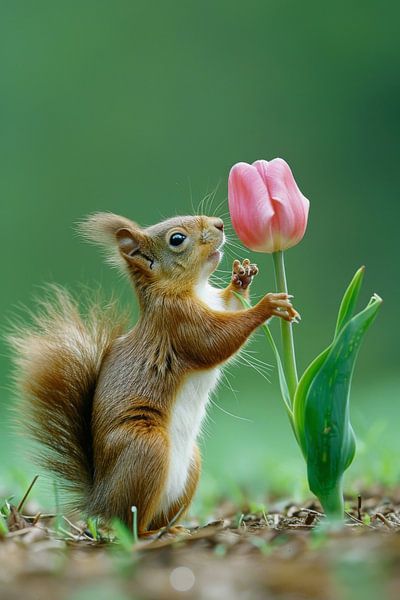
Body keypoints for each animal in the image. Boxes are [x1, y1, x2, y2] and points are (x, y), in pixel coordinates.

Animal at [8, 212, 300, 536]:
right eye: (177, 239)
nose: (219, 224)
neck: (195, 289)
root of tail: (100, 499)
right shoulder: (178, 322)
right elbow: (215, 342)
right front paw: (267, 305)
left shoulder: (215, 302)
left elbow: (230, 304)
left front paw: (242, 278)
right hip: (146, 448)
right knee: (131, 524)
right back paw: (150, 533)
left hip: (190, 465)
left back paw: (175, 528)